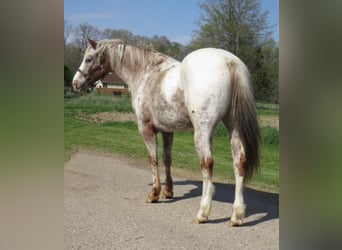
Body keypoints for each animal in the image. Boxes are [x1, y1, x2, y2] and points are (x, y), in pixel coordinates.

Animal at [71, 38, 260, 226]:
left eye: (88, 59)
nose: (75, 83)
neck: (145, 73)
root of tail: (229, 62)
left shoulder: (146, 128)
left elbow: (153, 159)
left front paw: (154, 193)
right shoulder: (168, 130)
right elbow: (167, 159)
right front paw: (168, 191)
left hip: (203, 131)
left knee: (207, 164)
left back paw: (203, 213)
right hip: (234, 127)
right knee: (239, 163)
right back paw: (237, 215)